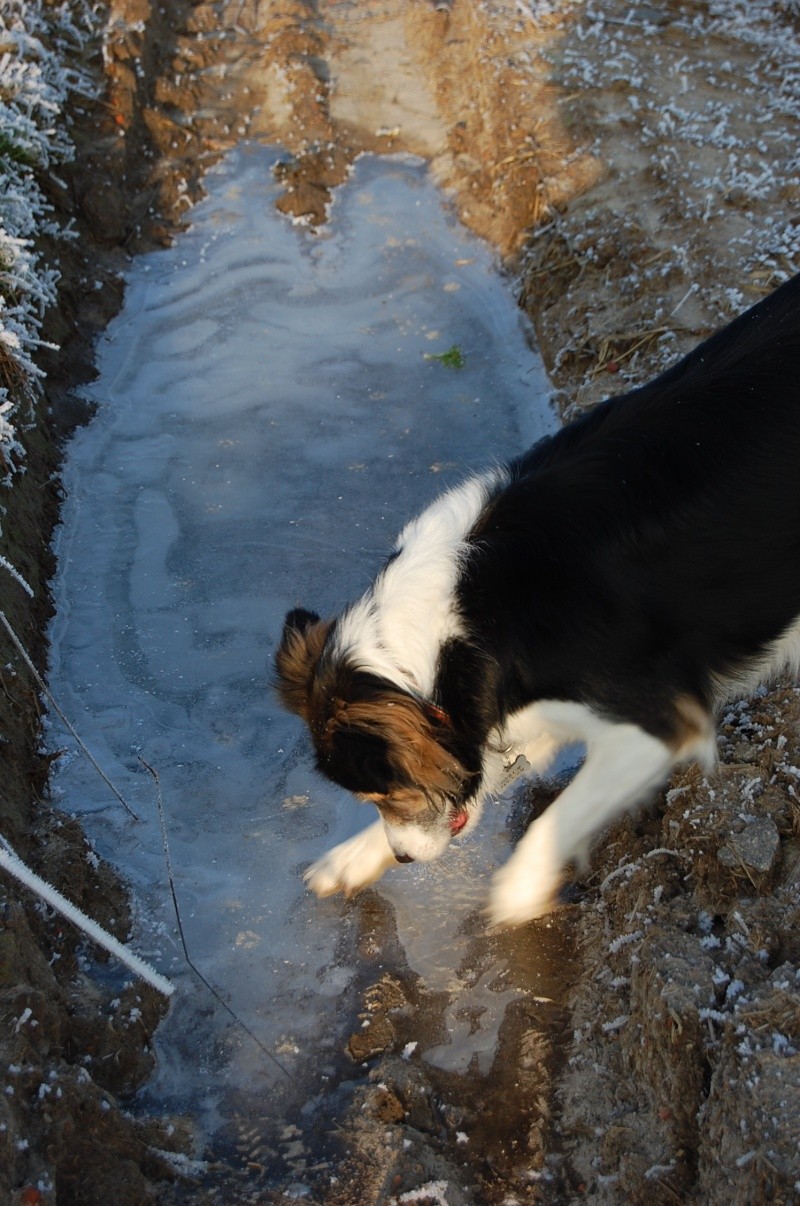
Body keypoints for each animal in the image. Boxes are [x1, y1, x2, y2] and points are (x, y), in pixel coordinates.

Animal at [275, 271, 800, 921]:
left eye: (386, 790)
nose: (401, 859)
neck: (458, 629)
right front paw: (352, 857)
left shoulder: (655, 721)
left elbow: (558, 814)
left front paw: (518, 891)